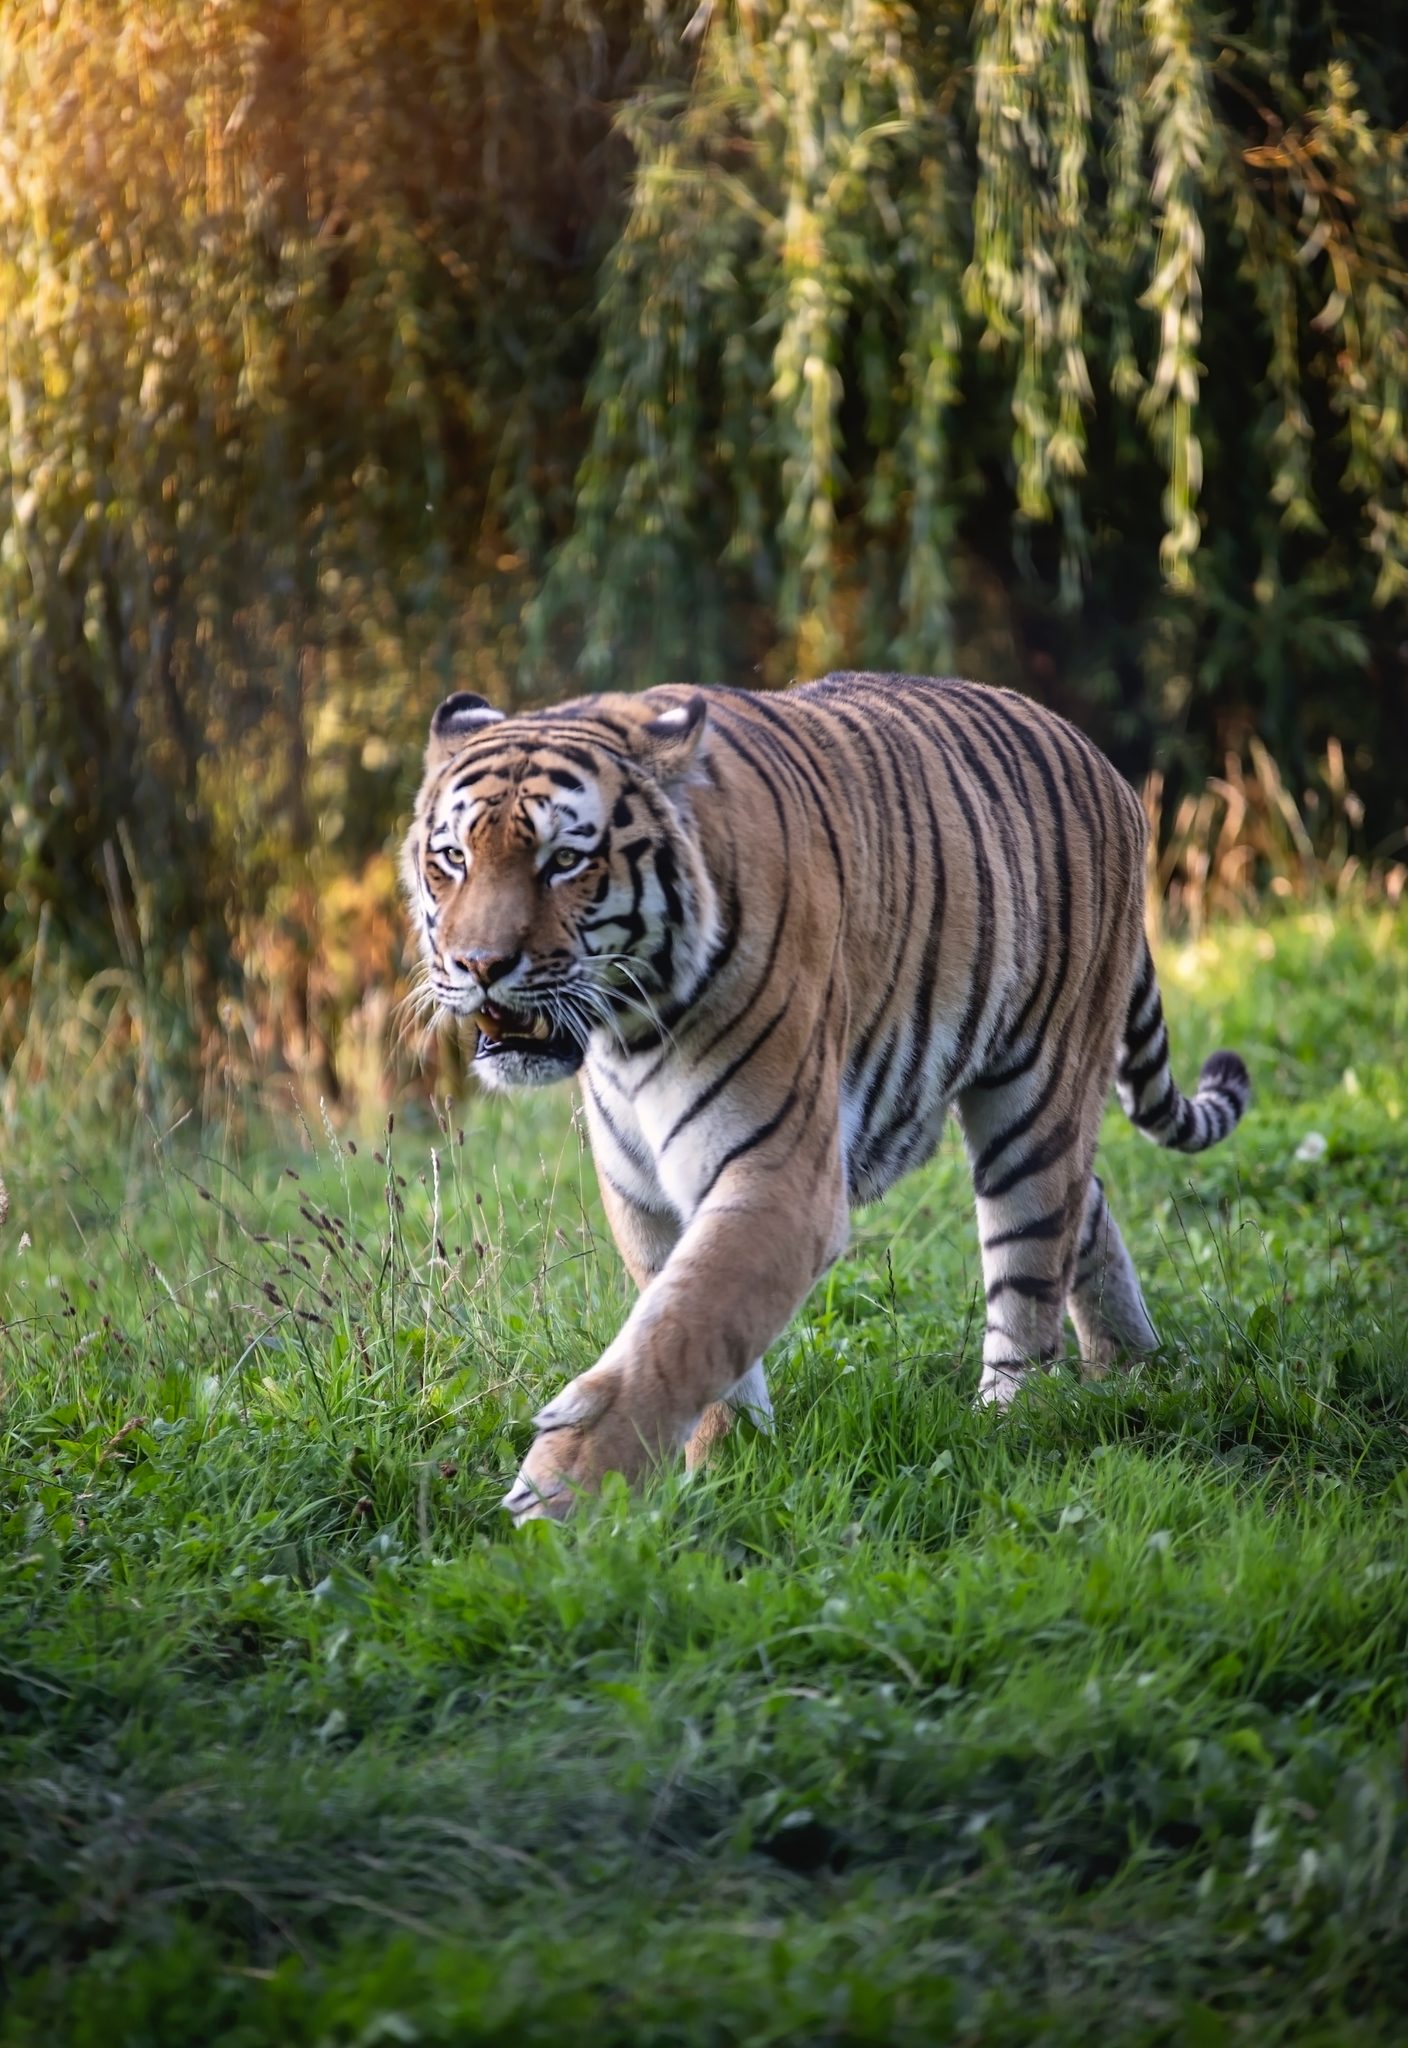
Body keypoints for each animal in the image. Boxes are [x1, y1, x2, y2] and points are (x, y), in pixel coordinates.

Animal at [401, 673, 1250, 1521]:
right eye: (453, 858)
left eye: (566, 861)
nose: (478, 965)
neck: (625, 1034)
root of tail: (1097, 756)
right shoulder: (643, 1195)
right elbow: (696, 1334)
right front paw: (726, 1469)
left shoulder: (778, 1179)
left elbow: (681, 1328)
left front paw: (566, 1489)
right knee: (1088, 1202)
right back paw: (1129, 1366)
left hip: (1034, 1099)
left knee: (1033, 1273)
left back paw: (1008, 1419)